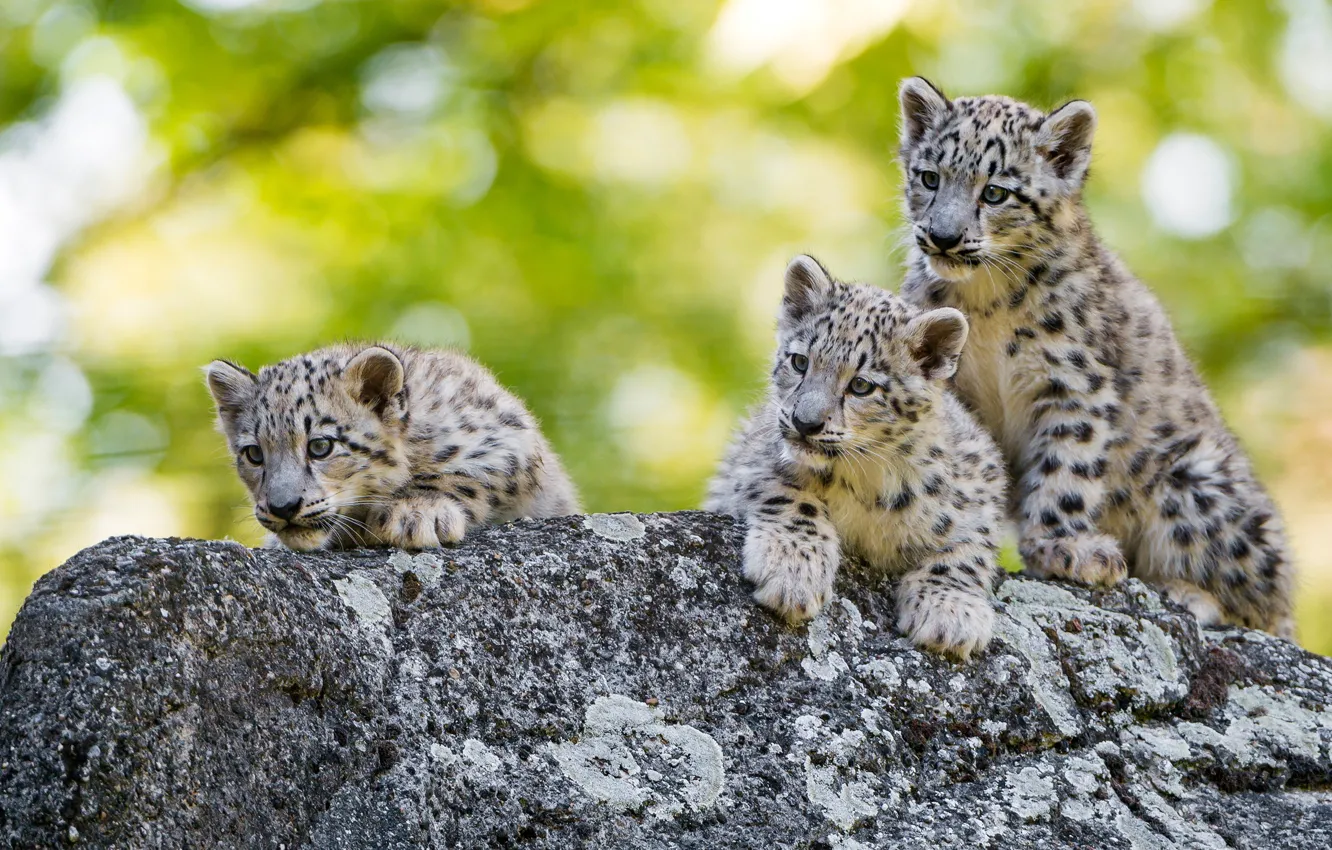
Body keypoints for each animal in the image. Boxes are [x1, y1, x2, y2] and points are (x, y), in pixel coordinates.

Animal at [205, 343, 579, 551]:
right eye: (254, 454)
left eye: (321, 446)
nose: (283, 507)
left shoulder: (508, 438)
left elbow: (467, 474)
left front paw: (415, 513)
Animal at [706, 255, 1007, 660]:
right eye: (800, 362)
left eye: (861, 385)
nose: (805, 422)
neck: (866, 481)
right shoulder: (753, 459)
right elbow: (788, 493)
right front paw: (792, 570)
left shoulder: (980, 486)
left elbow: (968, 547)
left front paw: (950, 613)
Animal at [894, 76, 1295, 638]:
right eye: (929, 177)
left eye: (995, 192)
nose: (943, 236)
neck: (984, 301)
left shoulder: (1074, 383)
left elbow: (1067, 469)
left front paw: (1064, 547)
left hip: (1197, 482)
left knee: (1264, 605)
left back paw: (1190, 594)